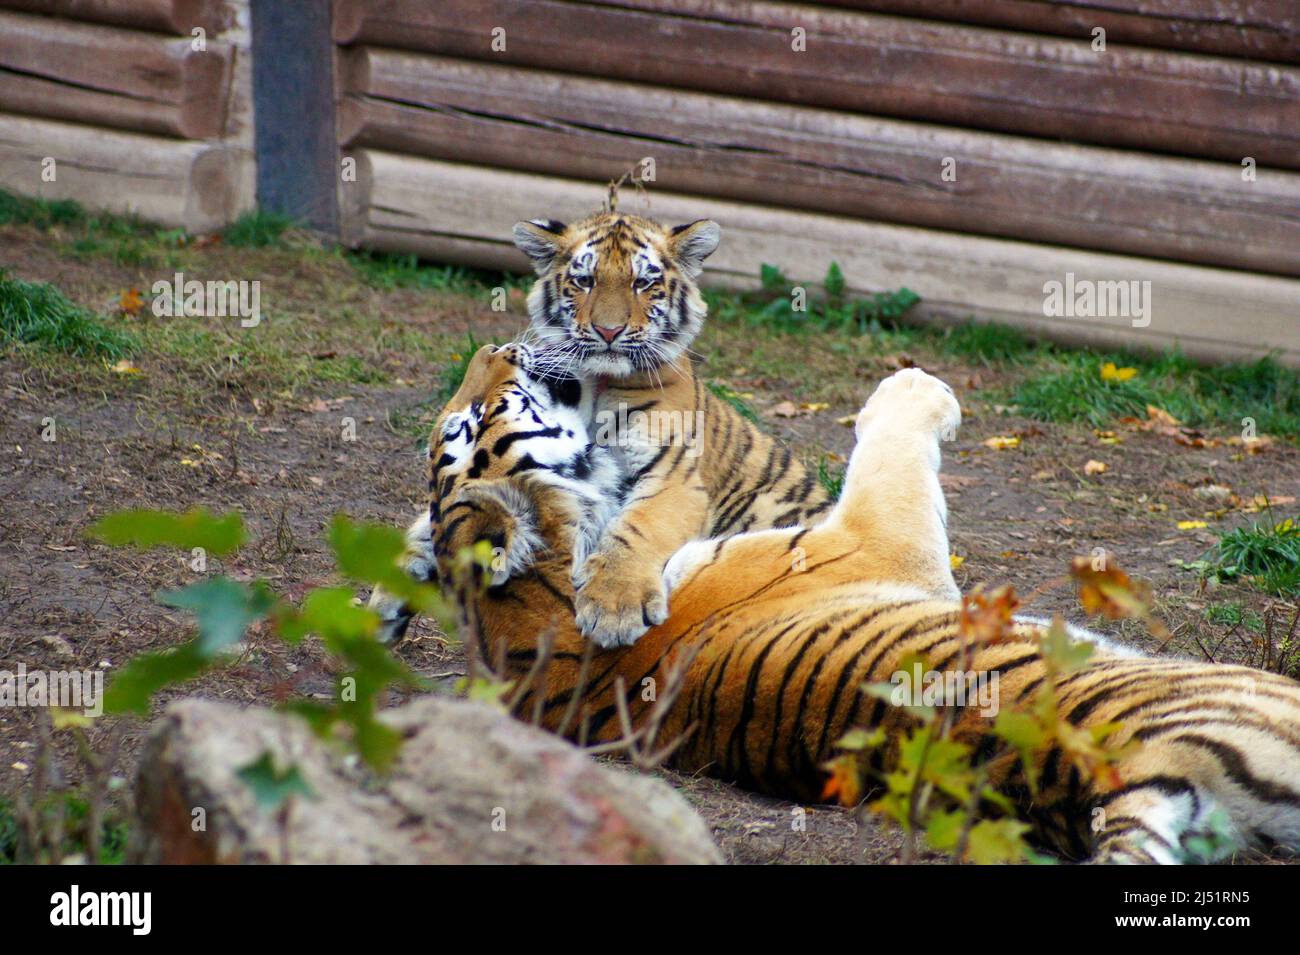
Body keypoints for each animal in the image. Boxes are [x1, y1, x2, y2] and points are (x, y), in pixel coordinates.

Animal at [390, 345, 1300, 867]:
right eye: (472, 419)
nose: (498, 342)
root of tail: (1134, 772)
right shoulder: (876, 536)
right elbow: (887, 441)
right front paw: (918, 383)